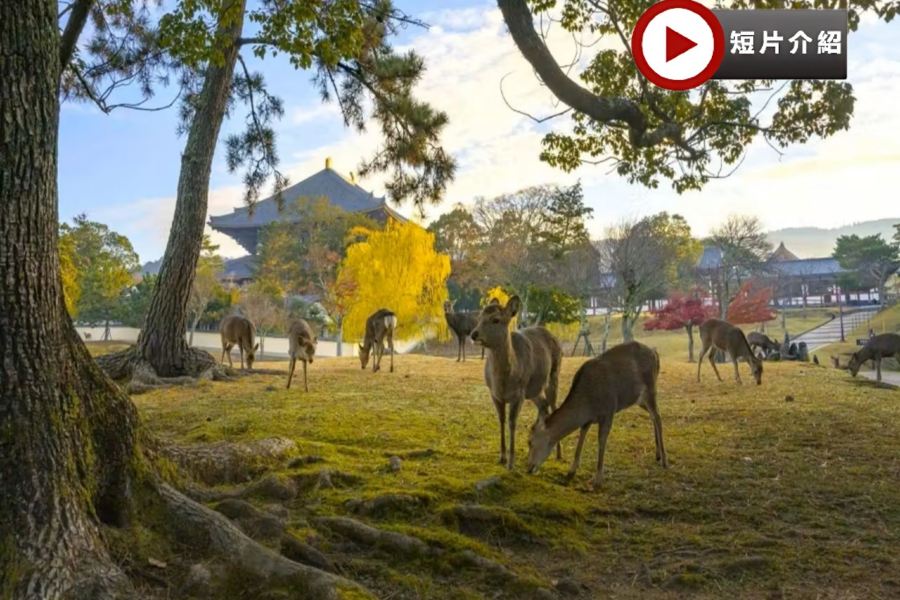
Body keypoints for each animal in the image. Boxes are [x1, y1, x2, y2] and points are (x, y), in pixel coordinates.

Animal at [470, 295, 562, 470]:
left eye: (496, 319)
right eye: (479, 317)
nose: (473, 334)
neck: (504, 381)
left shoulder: (518, 394)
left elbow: (512, 422)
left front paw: (511, 462)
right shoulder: (494, 394)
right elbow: (501, 419)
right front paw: (502, 457)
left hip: (553, 375)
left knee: (553, 406)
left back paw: (559, 454)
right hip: (533, 389)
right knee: (543, 405)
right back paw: (532, 442)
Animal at [526, 341, 665, 489]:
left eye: (530, 442)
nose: (528, 468)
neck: (588, 404)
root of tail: (655, 353)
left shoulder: (608, 411)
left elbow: (602, 441)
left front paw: (598, 479)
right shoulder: (587, 420)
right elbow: (581, 436)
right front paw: (571, 470)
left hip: (650, 390)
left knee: (658, 416)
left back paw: (664, 460)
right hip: (639, 400)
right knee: (653, 416)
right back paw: (657, 455)